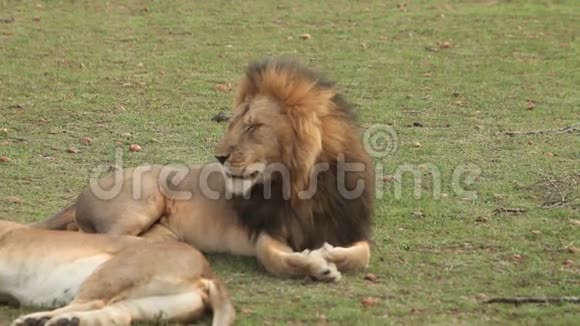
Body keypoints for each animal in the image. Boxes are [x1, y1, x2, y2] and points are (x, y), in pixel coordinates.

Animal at [2, 219, 233, 326]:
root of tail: (208, 271)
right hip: (145, 305)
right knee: (119, 316)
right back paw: (65, 321)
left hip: (115, 270)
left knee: (94, 302)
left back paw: (35, 319)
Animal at [37, 58, 372, 282]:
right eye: (233, 124)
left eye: (253, 127)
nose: (220, 157)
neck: (304, 186)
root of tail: (80, 196)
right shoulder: (267, 233)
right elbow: (279, 261)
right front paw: (319, 264)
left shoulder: (348, 226)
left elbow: (362, 255)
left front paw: (329, 253)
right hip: (143, 200)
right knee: (105, 240)